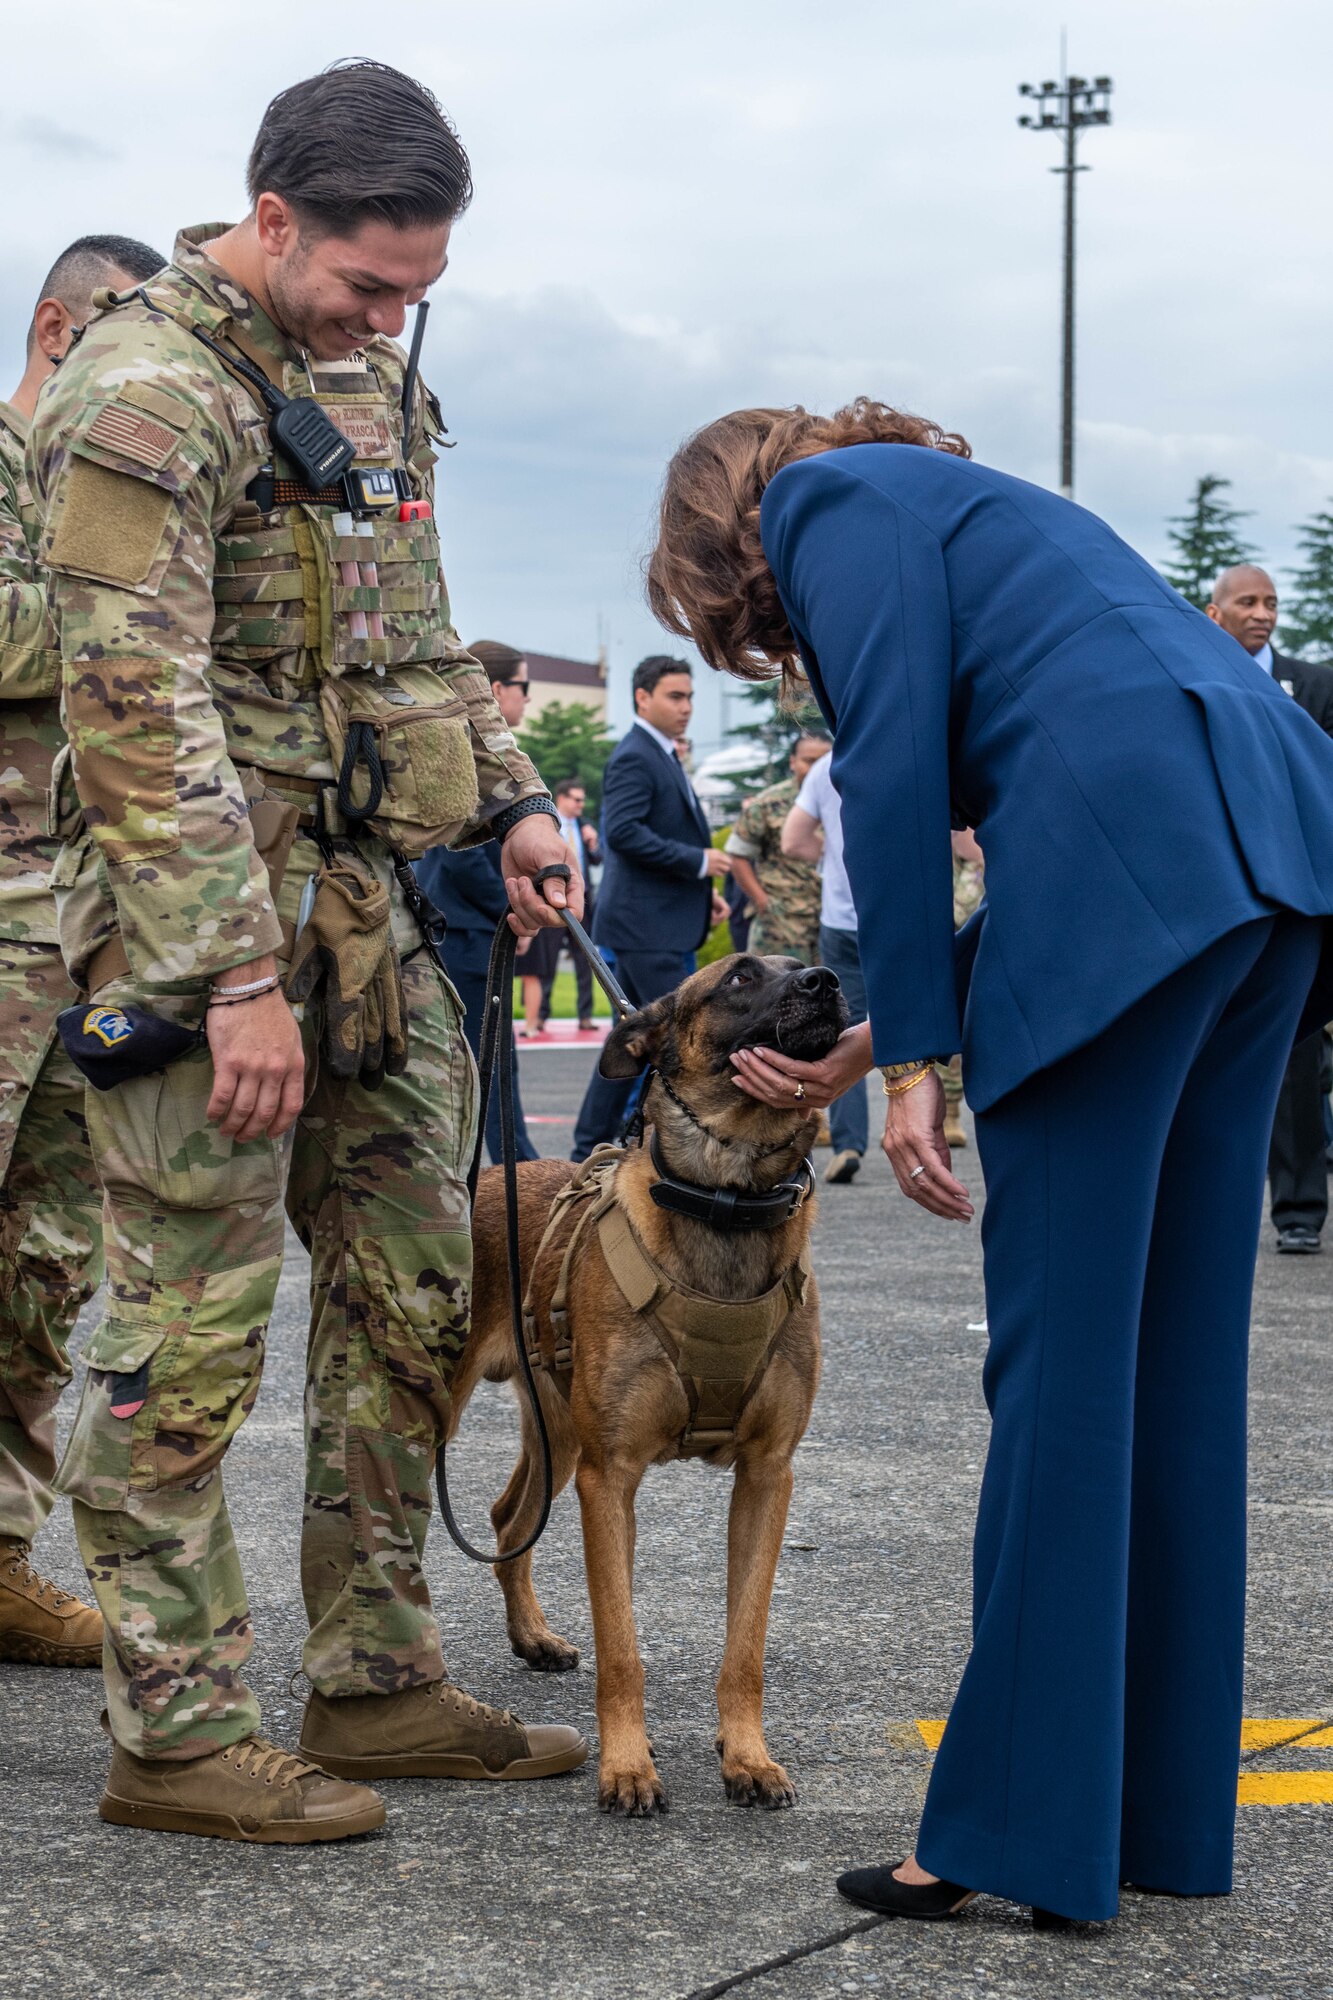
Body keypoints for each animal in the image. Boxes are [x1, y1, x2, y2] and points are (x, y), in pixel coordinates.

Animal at [446, 952, 840, 1816]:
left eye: (802, 965)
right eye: (740, 977)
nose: (827, 982)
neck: (727, 1200)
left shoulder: (767, 1478)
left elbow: (745, 1646)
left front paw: (747, 1757)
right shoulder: (610, 1478)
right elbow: (622, 1646)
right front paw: (626, 1767)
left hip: (557, 1431)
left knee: (506, 1516)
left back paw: (531, 1636)